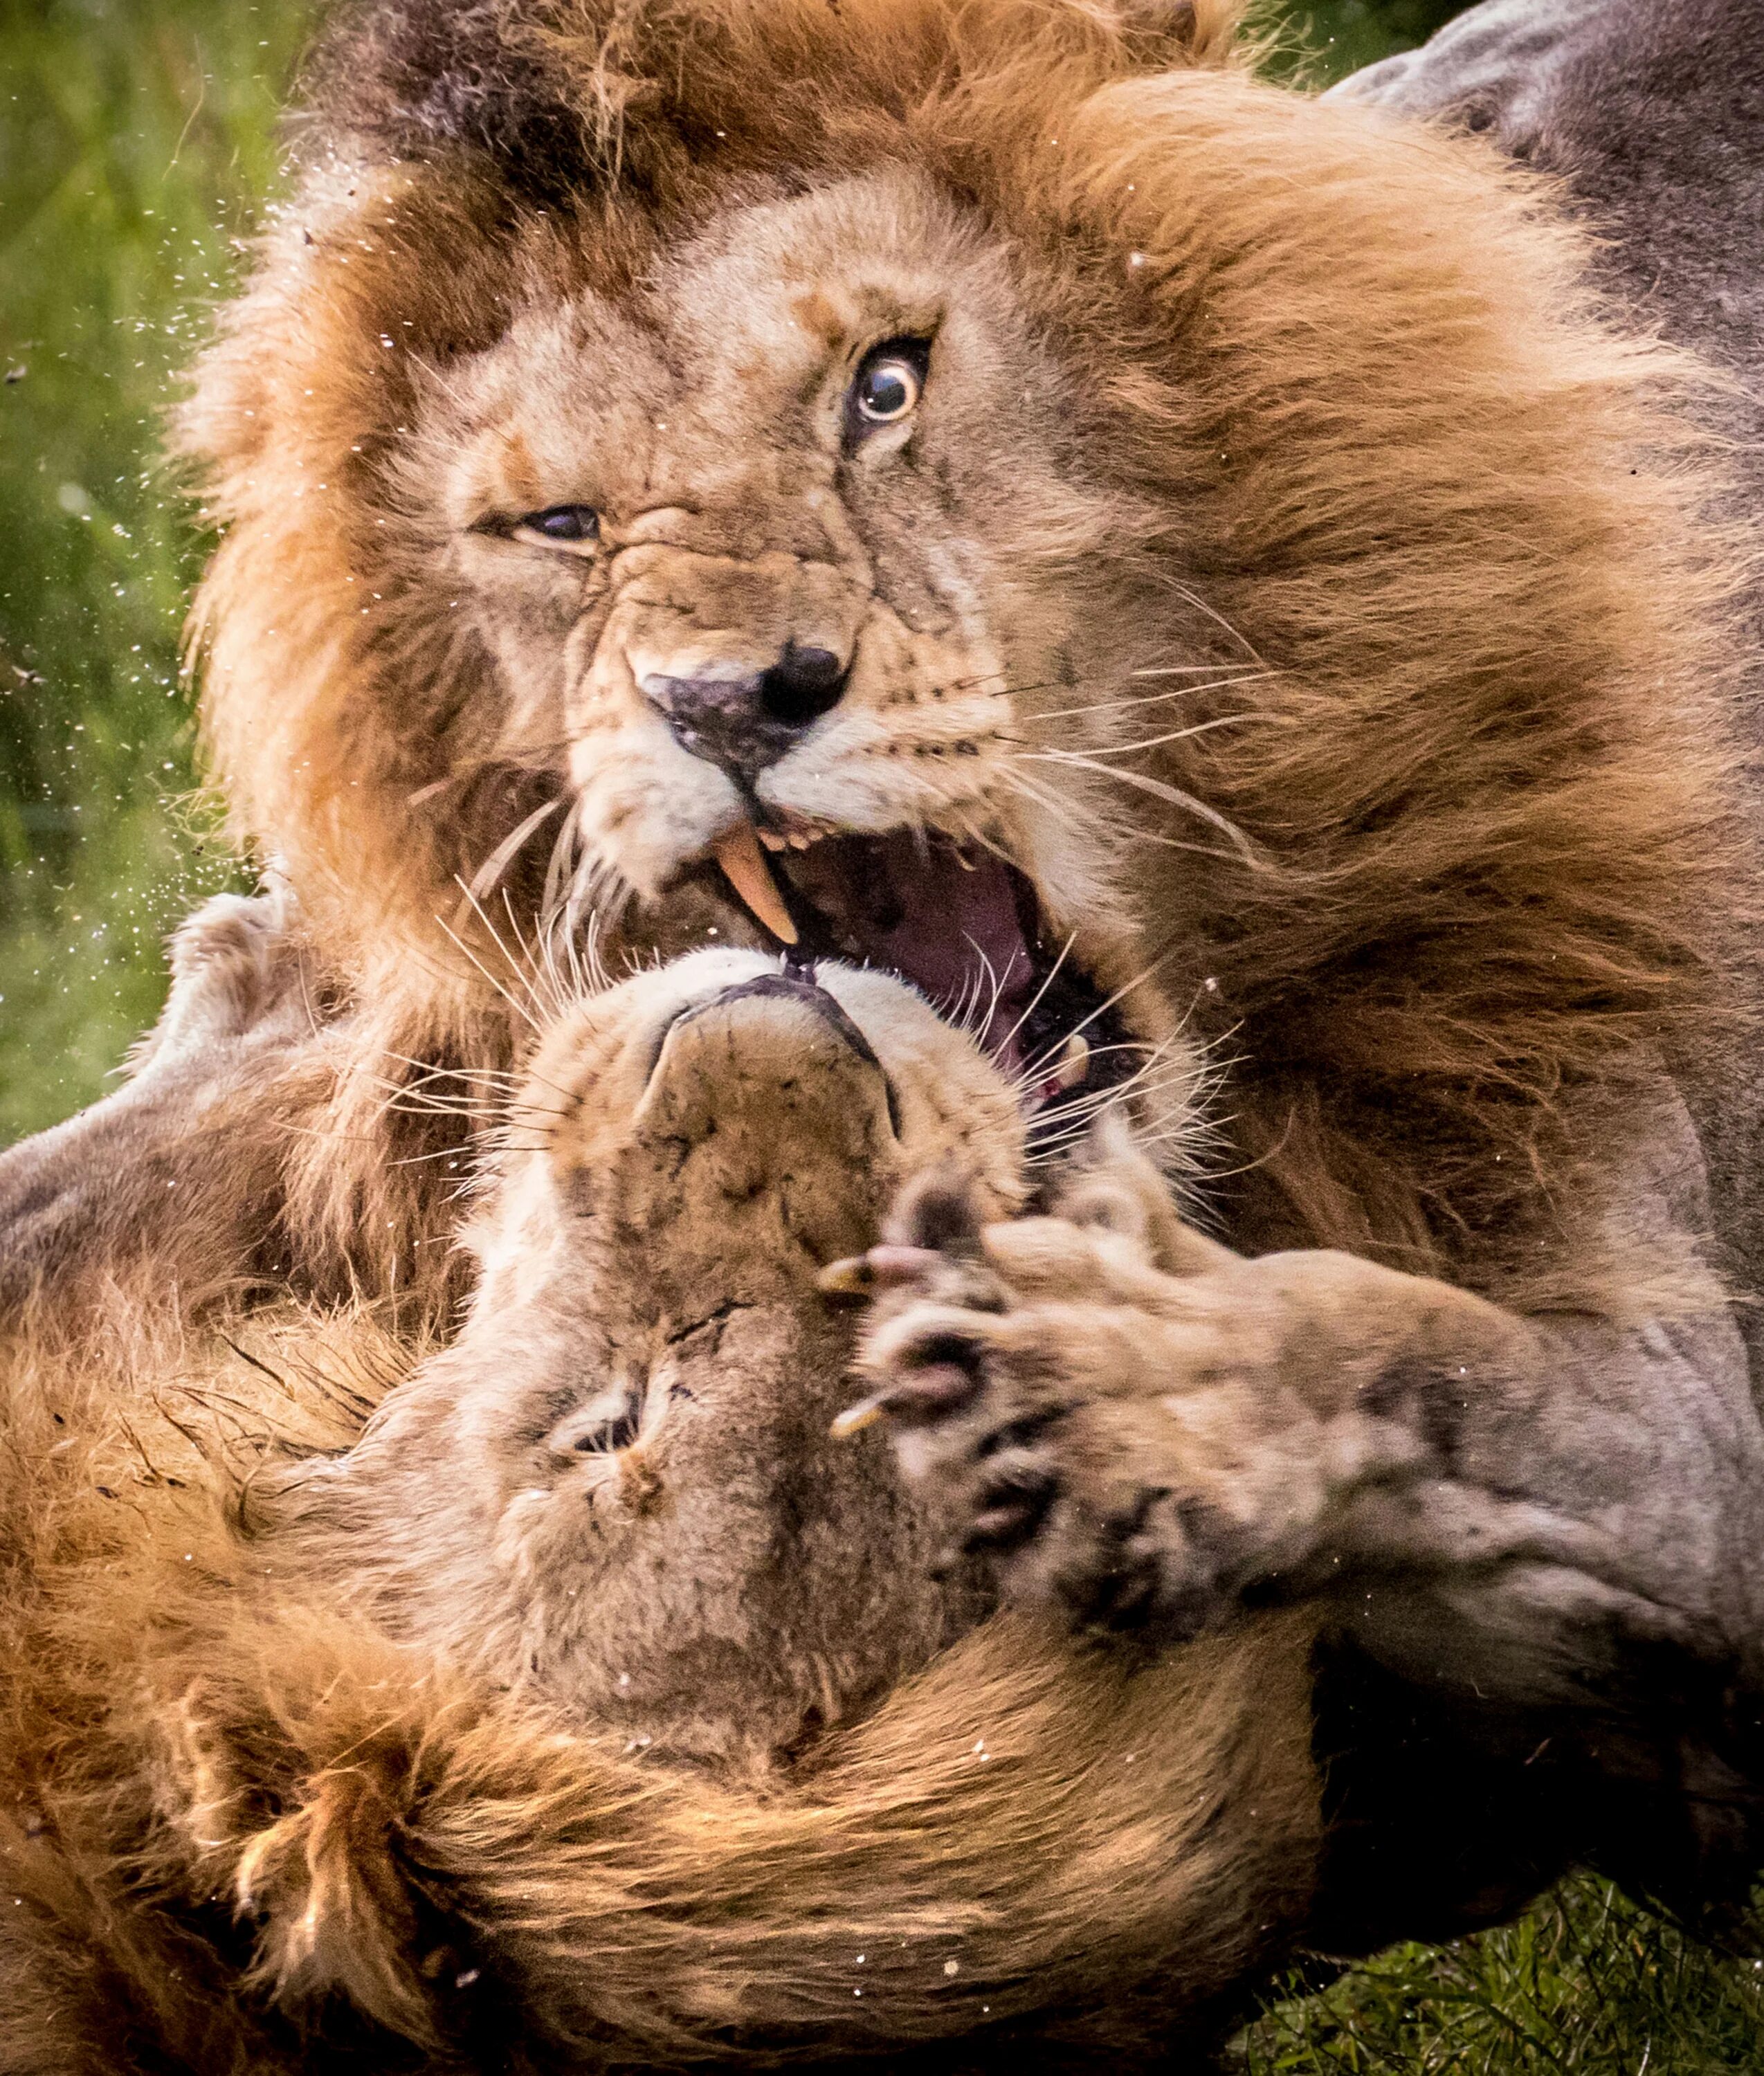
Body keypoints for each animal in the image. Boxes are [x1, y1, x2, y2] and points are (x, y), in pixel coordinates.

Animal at [10, 0, 1760, 2059]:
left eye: (883, 389)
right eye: (557, 524)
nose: (720, 698)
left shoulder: (1683, 1422)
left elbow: (1431, 1363)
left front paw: (1141, 1382)